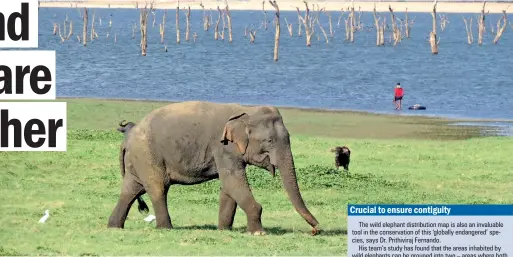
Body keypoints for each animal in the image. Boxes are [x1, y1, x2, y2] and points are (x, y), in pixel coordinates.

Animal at [107, 99, 320, 234]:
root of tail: (128, 138)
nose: (316, 229)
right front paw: (258, 232)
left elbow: (228, 186)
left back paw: (114, 226)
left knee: (130, 190)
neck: (246, 111)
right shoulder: (223, 147)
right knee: (158, 189)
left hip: (139, 161)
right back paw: (166, 228)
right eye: (269, 141)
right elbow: (233, 181)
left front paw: (224, 229)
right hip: (149, 157)